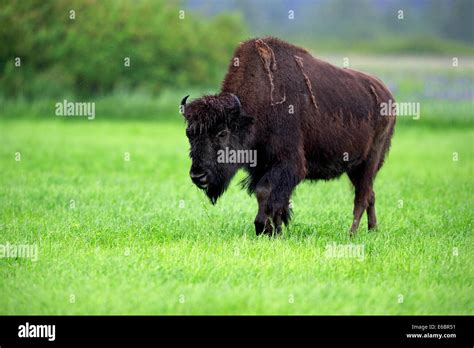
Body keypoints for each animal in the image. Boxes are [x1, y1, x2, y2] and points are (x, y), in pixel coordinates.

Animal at [181, 36, 396, 237]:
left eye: (222, 133)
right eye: (189, 134)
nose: (198, 175)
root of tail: (387, 95)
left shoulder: (287, 164)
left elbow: (266, 192)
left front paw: (263, 228)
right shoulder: (261, 166)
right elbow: (270, 198)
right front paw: (273, 230)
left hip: (369, 162)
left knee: (361, 196)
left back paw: (351, 234)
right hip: (355, 167)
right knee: (370, 194)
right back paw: (373, 229)